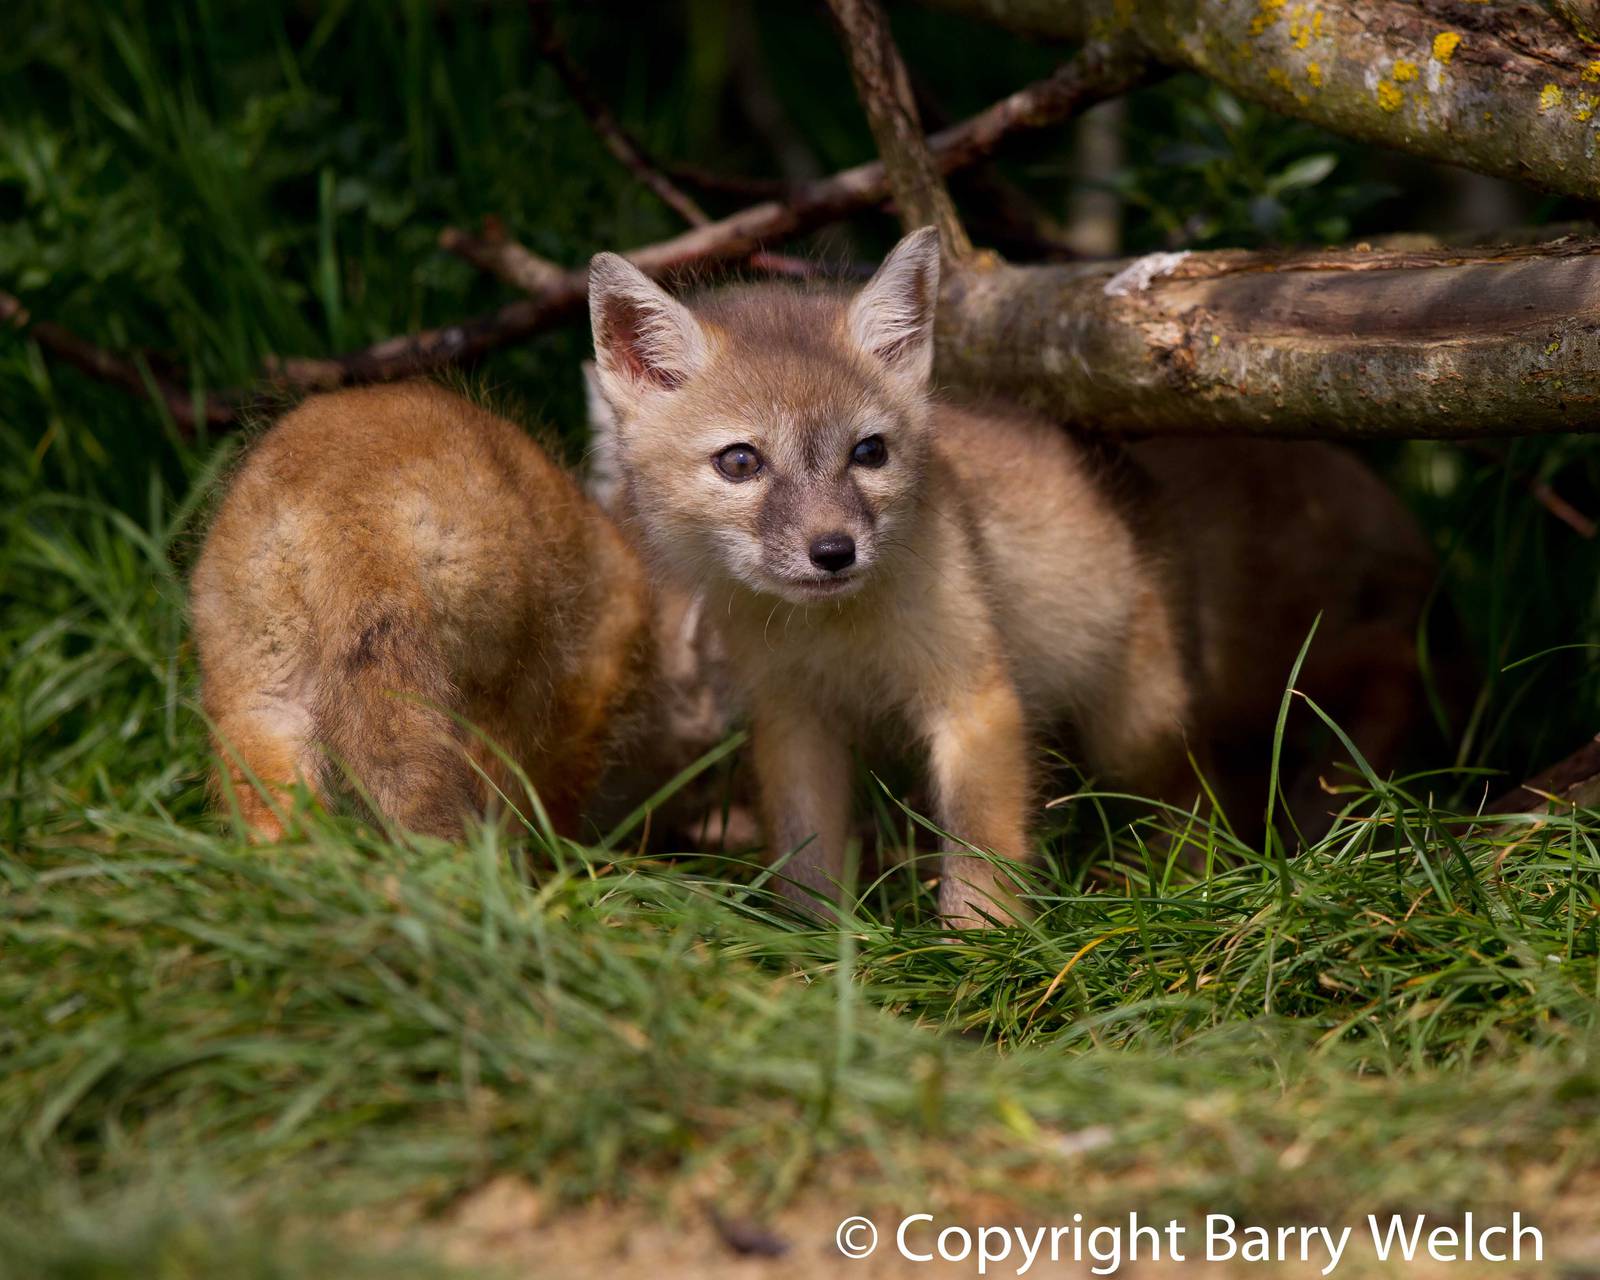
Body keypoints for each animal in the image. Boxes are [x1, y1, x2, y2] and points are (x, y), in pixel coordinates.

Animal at [586, 227, 1453, 925]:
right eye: (740, 462)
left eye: (869, 453)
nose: (834, 551)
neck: (839, 637)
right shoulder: (795, 717)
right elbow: (808, 868)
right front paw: (820, 966)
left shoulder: (976, 701)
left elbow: (978, 864)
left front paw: (976, 971)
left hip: (1140, 728)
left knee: (1244, 769)